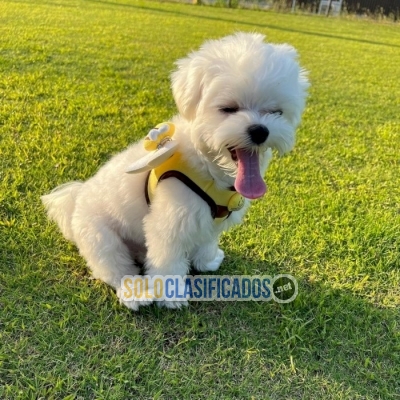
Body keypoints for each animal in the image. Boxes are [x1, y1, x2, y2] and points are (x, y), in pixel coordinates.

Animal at [41, 32, 310, 310]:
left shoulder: (210, 221)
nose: (259, 131)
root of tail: (75, 200)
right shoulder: (168, 224)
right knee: (116, 269)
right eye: (228, 109)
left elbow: (206, 240)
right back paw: (136, 291)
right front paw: (172, 296)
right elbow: (168, 263)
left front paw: (207, 261)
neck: (208, 167)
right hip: (101, 238)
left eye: (276, 112)